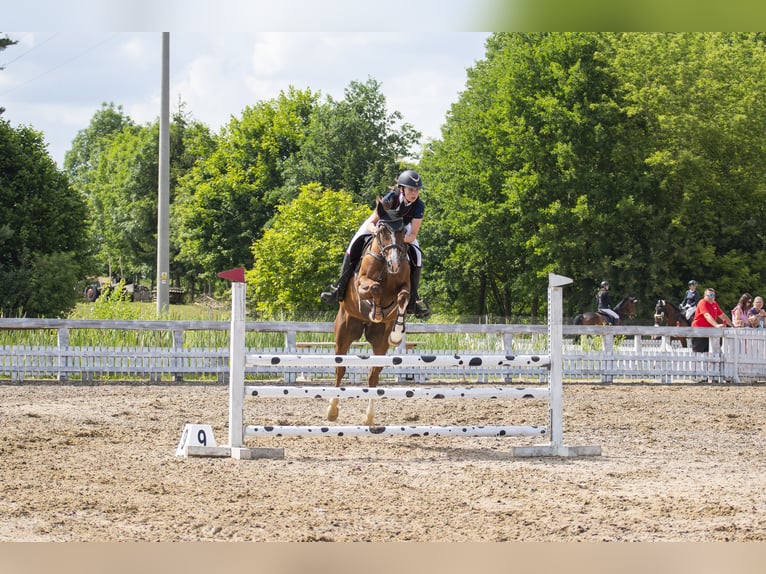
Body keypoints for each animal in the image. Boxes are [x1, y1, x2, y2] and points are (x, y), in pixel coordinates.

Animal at [330, 198, 414, 428]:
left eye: (403, 230)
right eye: (383, 229)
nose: (394, 264)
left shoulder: (404, 287)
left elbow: (403, 297)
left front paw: (397, 332)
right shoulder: (361, 283)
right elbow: (374, 288)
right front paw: (375, 309)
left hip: (379, 342)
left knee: (373, 375)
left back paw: (369, 417)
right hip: (344, 332)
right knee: (340, 369)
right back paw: (332, 411)